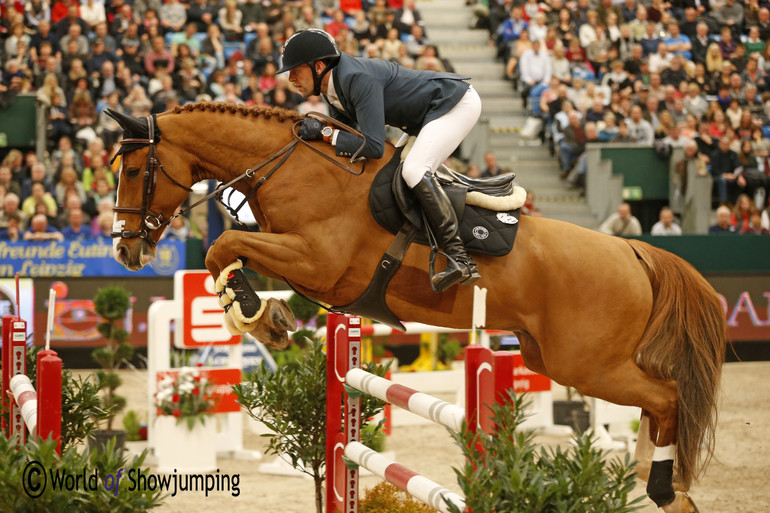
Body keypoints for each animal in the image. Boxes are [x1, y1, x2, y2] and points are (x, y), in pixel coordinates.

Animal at [109, 102, 728, 510]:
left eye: (135, 171)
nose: (125, 249)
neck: (292, 165)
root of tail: (634, 250)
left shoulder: (317, 260)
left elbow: (224, 245)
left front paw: (257, 314)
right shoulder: (297, 258)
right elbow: (230, 250)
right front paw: (267, 317)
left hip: (586, 363)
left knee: (667, 396)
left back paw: (665, 488)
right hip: (555, 357)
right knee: (659, 399)